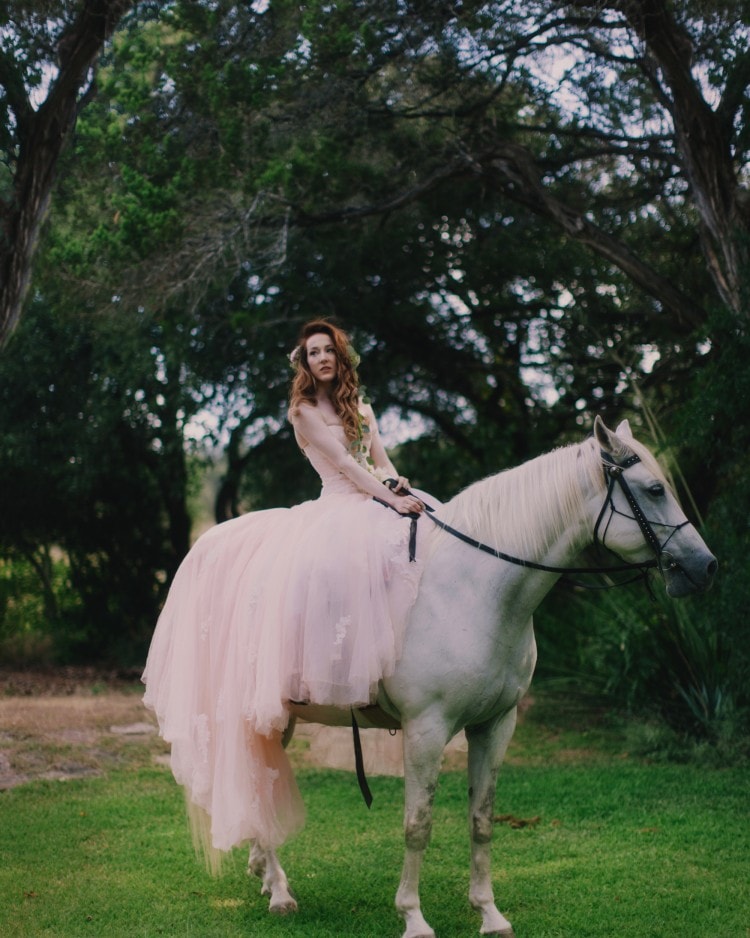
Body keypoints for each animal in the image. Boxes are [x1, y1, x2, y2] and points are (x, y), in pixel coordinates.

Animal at [229, 420, 716, 936]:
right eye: (655, 489)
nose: (706, 566)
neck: (473, 590)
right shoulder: (426, 730)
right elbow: (418, 824)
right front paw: (413, 916)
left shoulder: (495, 725)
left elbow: (482, 820)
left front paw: (489, 912)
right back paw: (280, 892)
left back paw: (265, 874)